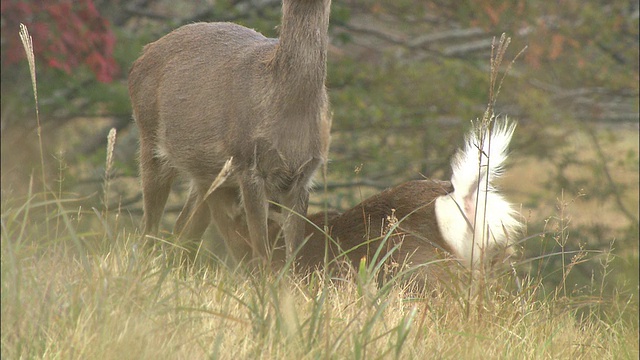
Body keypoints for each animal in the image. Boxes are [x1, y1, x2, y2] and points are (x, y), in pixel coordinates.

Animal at [128, 0, 332, 262]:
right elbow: (262, 254)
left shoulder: (303, 176)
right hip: (149, 137)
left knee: (183, 228)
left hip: (208, 173)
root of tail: (142, 55)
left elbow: (295, 256)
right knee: (149, 230)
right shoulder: (247, 163)